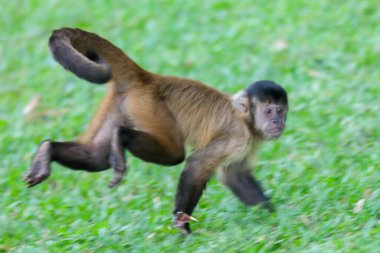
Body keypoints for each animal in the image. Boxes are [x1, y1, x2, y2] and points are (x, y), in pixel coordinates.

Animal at [24, 27, 288, 233]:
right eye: (268, 111)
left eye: (281, 111)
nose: (278, 123)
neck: (246, 120)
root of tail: (148, 78)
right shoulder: (238, 136)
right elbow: (196, 166)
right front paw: (182, 227)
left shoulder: (250, 141)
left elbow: (234, 175)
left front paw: (273, 217)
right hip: (148, 106)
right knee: (173, 155)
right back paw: (120, 137)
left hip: (122, 102)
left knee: (97, 157)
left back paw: (48, 149)